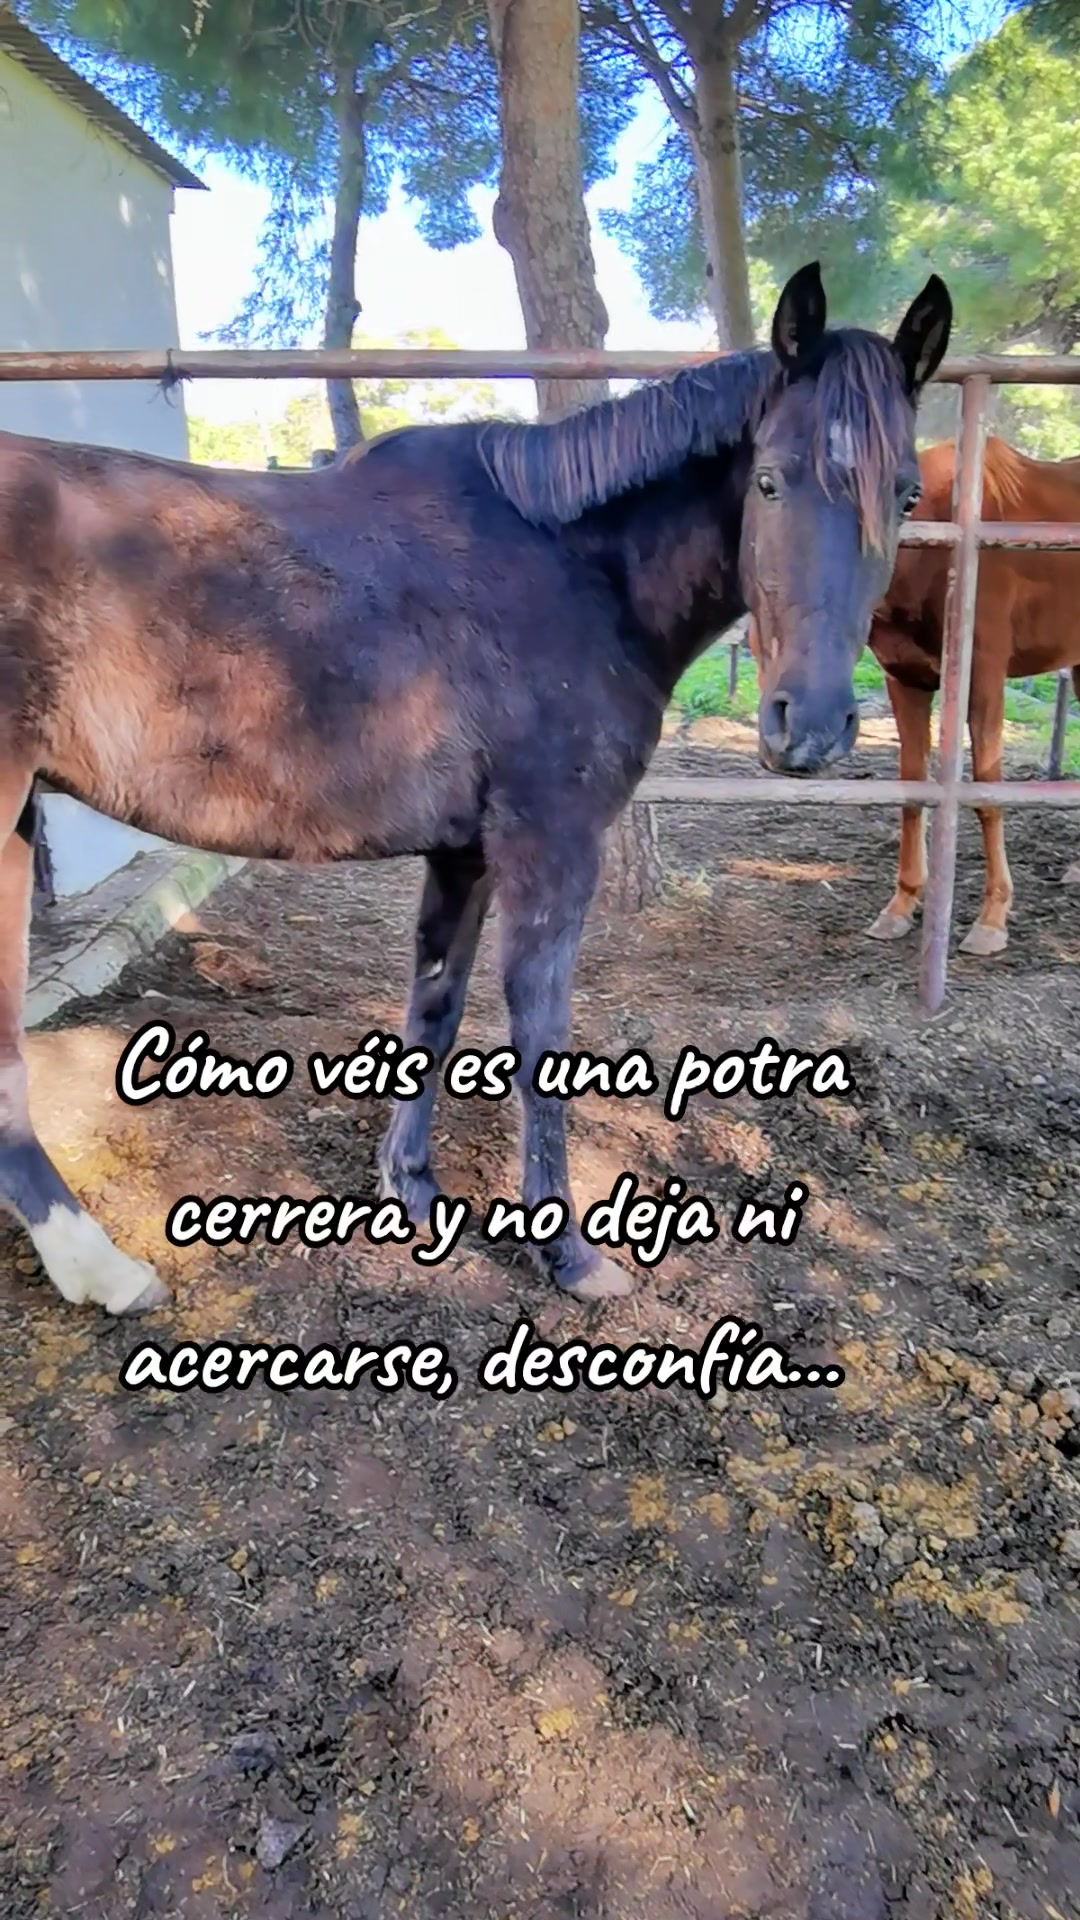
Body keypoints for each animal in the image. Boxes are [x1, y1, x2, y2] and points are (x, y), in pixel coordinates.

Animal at [0, 261, 950, 1316]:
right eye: (771, 479)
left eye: (907, 494)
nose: (810, 727)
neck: (571, 570)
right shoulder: (551, 848)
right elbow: (539, 1031)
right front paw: (568, 1252)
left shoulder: (465, 855)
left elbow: (437, 1007)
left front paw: (409, 1190)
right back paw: (102, 1268)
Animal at [864, 437, 1080, 956]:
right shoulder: (905, 680)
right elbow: (912, 788)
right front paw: (901, 905)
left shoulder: (983, 676)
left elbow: (986, 791)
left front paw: (992, 918)